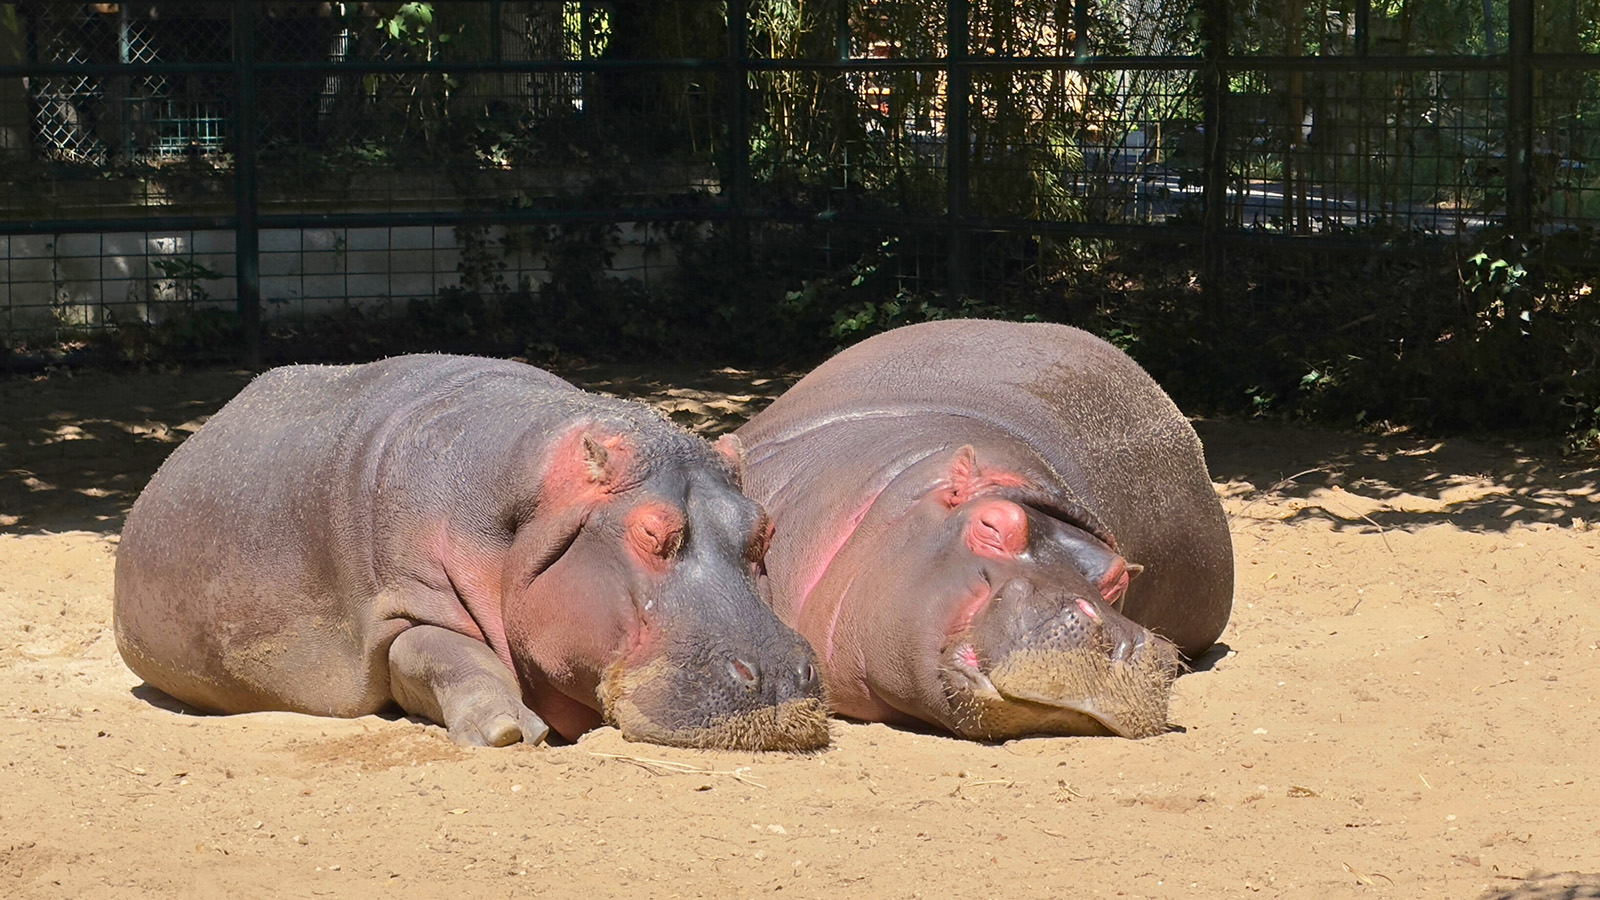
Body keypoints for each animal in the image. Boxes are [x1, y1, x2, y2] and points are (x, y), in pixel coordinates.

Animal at [114, 355, 828, 751]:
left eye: (765, 529)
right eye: (651, 534)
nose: (782, 676)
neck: (532, 518)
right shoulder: (404, 604)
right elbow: (444, 653)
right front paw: (509, 730)